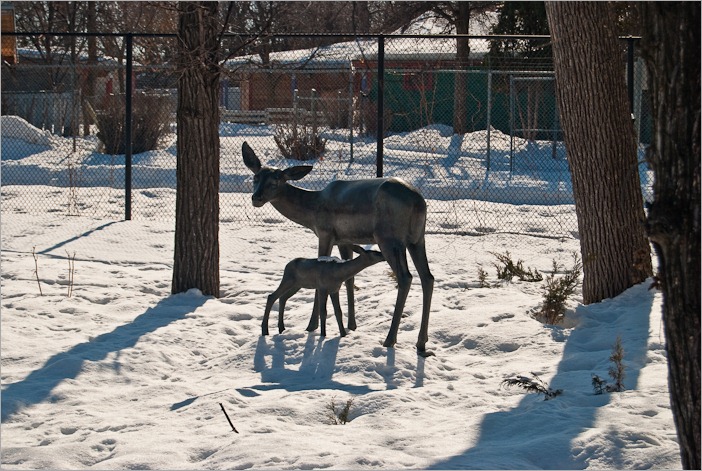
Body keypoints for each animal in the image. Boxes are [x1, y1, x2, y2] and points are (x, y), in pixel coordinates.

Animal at [242, 141, 435, 356]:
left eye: (276, 181)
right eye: (256, 177)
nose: (256, 198)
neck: (311, 210)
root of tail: (419, 202)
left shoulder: (325, 233)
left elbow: (321, 270)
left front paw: (312, 326)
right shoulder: (344, 239)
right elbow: (350, 279)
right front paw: (351, 326)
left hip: (388, 237)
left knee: (405, 277)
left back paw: (390, 339)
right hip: (417, 239)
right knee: (427, 277)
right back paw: (421, 342)